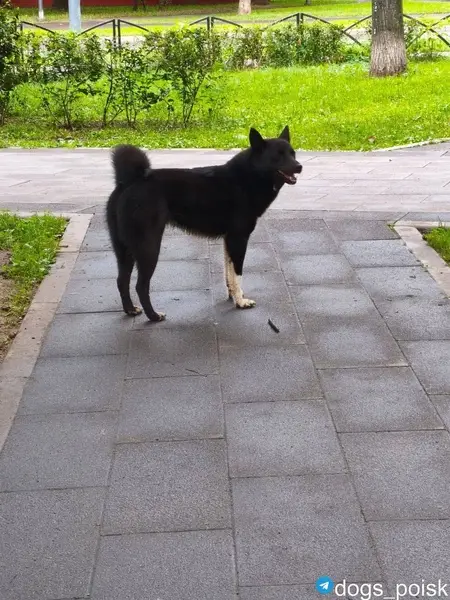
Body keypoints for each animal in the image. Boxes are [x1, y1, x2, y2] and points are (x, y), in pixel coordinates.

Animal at [106, 126, 302, 322]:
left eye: (292, 153)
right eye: (278, 156)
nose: (299, 166)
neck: (249, 176)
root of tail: (130, 180)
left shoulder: (229, 240)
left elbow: (229, 272)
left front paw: (234, 295)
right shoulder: (239, 238)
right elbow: (237, 273)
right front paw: (241, 302)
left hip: (124, 249)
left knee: (121, 280)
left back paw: (130, 309)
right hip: (149, 247)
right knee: (140, 285)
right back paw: (153, 316)